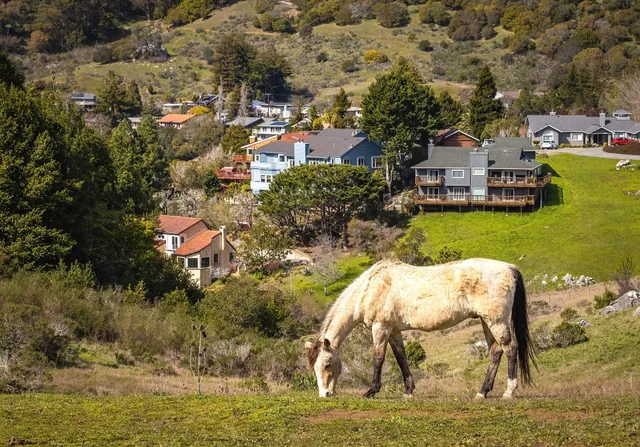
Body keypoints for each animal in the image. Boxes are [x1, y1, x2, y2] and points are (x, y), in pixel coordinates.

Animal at [305, 258, 536, 399]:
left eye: (327, 364)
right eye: (314, 367)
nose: (325, 394)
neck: (370, 288)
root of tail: (509, 268)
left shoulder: (381, 328)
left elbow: (378, 358)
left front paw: (371, 391)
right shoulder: (394, 331)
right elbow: (401, 358)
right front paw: (408, 391)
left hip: (496, 321)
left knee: (510, 348)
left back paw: (508, 392)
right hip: (486, 321)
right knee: (495, 352)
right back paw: (482, 392)